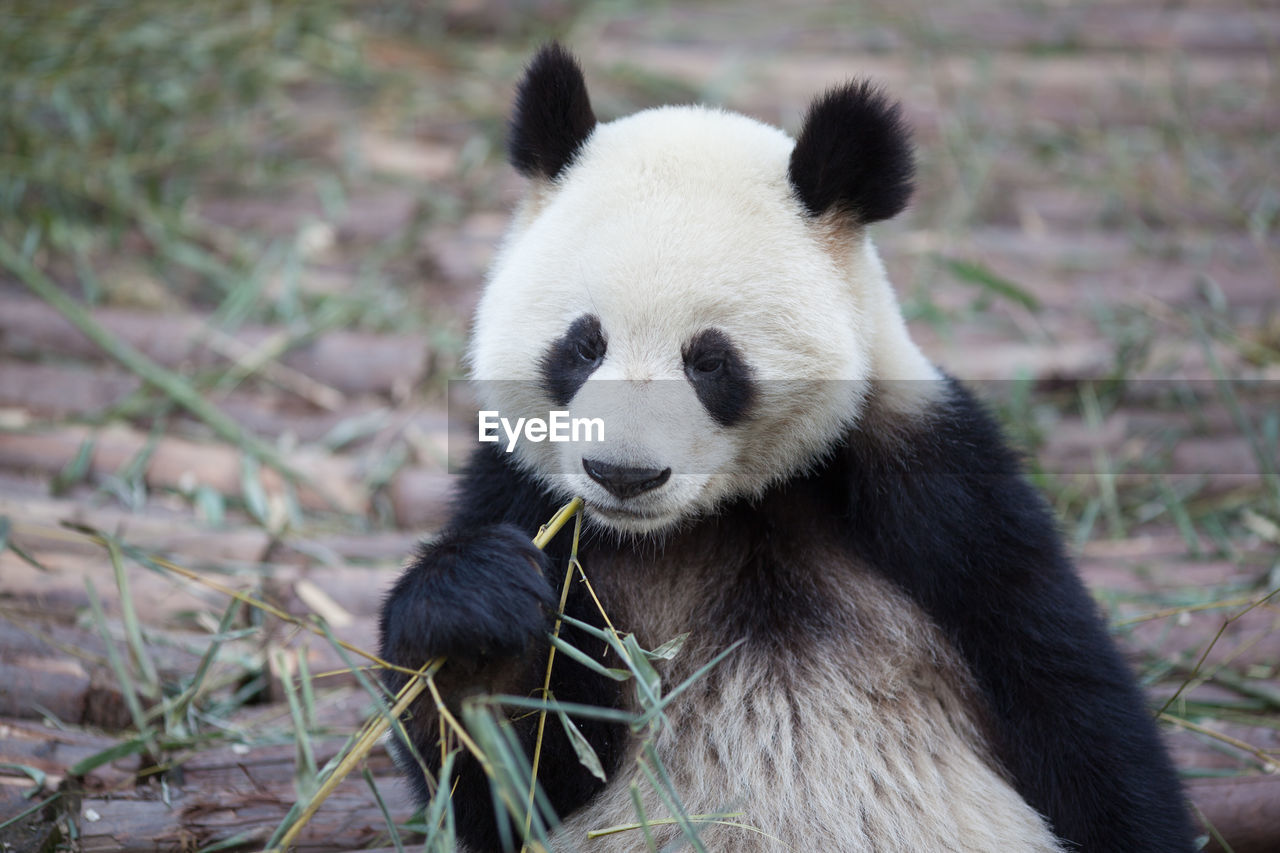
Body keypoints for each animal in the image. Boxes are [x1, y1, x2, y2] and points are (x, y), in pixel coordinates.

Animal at [376, 43, 1187, 845]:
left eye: (710, 361)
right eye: (582, 346)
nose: (623, 474)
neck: (718, 515)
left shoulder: (932, 482)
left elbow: (1064, 698)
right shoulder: (528, 498)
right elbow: (516, 773)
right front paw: (475, 615)